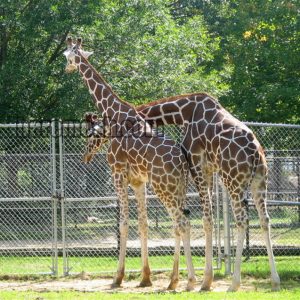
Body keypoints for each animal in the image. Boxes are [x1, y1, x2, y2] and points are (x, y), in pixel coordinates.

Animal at [62, 38, 197, 290]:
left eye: (67, 55)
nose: (67, 69)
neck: (114, 112)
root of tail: (182, 162)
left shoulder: (117, 172)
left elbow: (123, 224)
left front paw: (118, 278)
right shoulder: (138, 180)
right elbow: (143, 223)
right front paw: (145, 278)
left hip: (163, 187)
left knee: (181, 222)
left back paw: (187, 281)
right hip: (178, 188)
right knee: (181, 223)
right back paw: (176, 280)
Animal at [136, 93, 282, 290]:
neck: (184, 113)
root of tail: (255, 153)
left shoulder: (196, 163)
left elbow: (207, 220)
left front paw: (205, 281)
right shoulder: (209, 169)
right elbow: (210, 218)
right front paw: (206, 279)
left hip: (233, 181)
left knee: (242, 220)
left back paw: (234, 284)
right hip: (260, 181)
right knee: (264, 219)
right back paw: (275, 280)